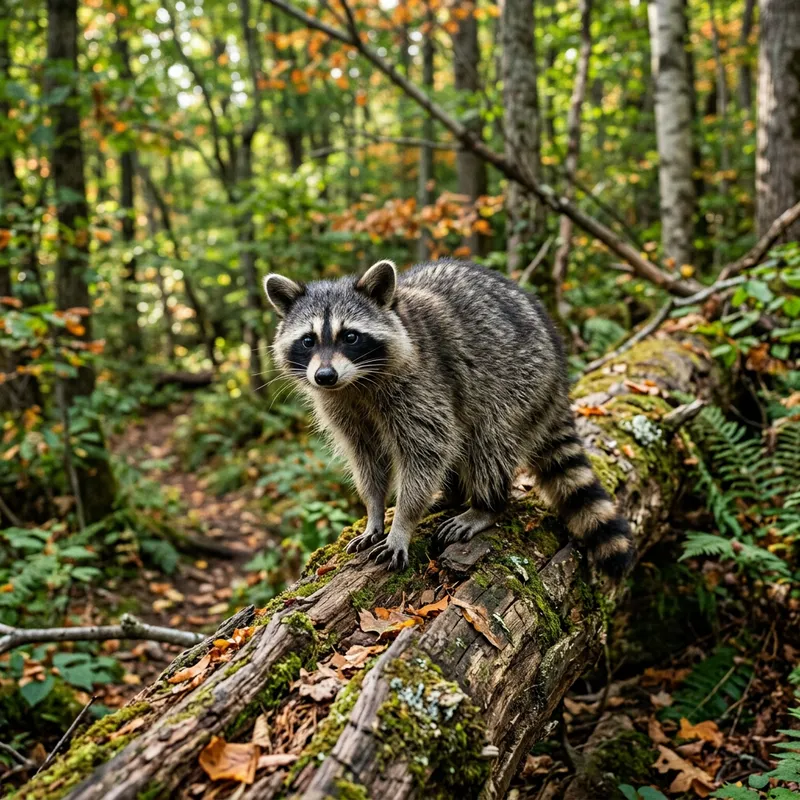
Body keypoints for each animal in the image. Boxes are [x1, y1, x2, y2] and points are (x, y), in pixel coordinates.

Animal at [264, 259, 635, 578]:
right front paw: (374, 512)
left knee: (489, 443)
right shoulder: (342, 407)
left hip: (520, 383)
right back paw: (451, 496)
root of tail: (559, 371)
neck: (356, 383)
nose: (324, 376)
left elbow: (427, 450)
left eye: (350, 336)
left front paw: (403, 523)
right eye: (308, 340)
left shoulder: (422, 383)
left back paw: (486, 506)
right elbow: (367, 459)